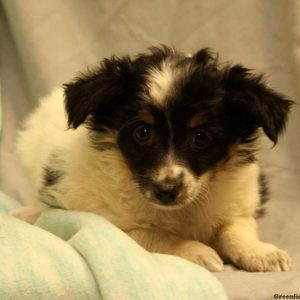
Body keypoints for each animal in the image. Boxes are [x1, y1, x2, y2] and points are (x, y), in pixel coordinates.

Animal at [17, 46, 292, 272]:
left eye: (201, 137)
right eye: (143, 133)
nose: (167, 191)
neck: (181, 212)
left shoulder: (238, 204)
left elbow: (236, 230)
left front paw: (261, 253)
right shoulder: (99, 219)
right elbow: (151, 234)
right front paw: (197, 251)